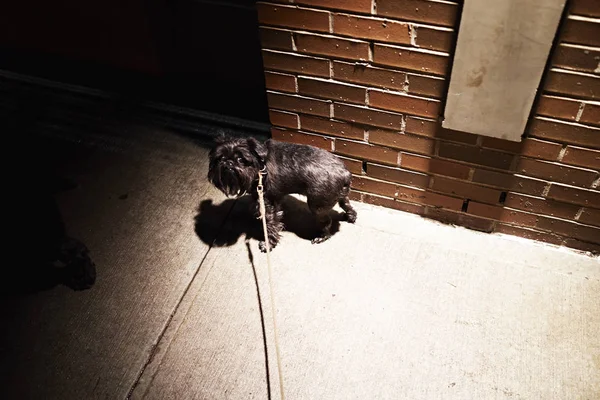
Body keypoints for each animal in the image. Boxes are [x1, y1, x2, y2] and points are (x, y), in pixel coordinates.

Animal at [207, 136, 356, 252]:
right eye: (220, 158)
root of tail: (345, 173)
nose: (228, 162)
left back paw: (322, 236)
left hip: (317, 205)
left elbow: (270, 225)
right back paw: (351, 216)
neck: (260, 165)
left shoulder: (267, 204)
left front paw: (268, 244)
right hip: (339, 196)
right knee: (347, 204)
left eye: (241, 159)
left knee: (326, 221)